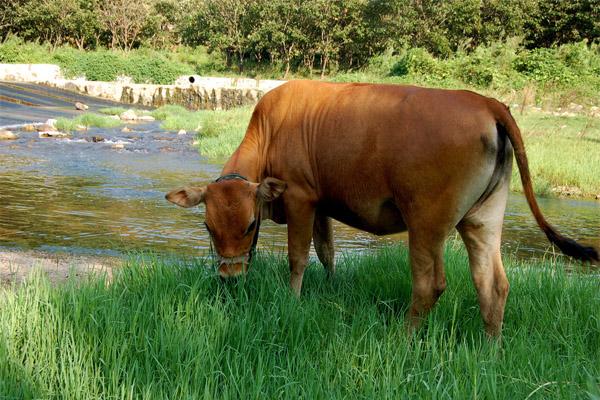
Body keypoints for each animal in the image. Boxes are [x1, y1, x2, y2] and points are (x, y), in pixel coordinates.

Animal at [166, 79, 596, 336]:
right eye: (208, 227)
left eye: (251, 225)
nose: (230, 279)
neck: (270, 131)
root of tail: (486, 102)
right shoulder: (323, 203)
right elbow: (327, 251)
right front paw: (331, 287)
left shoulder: (300, 197)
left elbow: (298, 257)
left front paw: (293, 300)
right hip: (483, 219)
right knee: (493, 285)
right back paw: (491, 349)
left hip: (426, 222)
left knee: (430, 284)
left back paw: (404, 338)